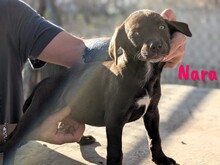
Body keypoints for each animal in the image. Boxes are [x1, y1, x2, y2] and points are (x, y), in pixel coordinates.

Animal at [3, 9, 192, 164]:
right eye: (136, 33)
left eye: (162, 27)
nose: (156, 45)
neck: (144, 73)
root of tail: (42, 83)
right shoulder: (114, 119)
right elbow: (116, 152)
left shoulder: (152, 112)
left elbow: (155, 138)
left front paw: (161, 158)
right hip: (35, 114)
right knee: (11, 141)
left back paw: (83, 138)